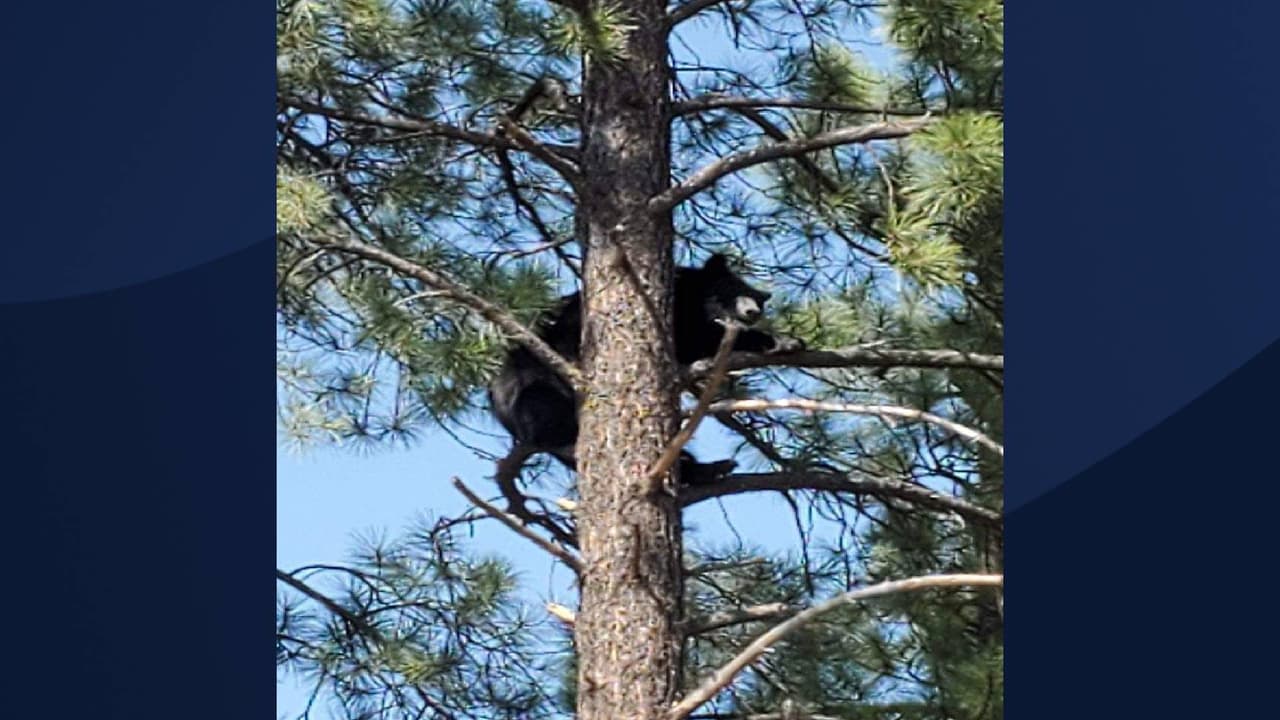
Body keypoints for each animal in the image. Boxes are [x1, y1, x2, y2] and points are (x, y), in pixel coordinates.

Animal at [488, 253, 803, 484]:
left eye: (757, 300)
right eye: (732, 290)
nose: (752, 312)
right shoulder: (682, 312)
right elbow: (696, 337)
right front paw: (780, 340)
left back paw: (708, 467)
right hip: (536, 379)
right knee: (542, 405)